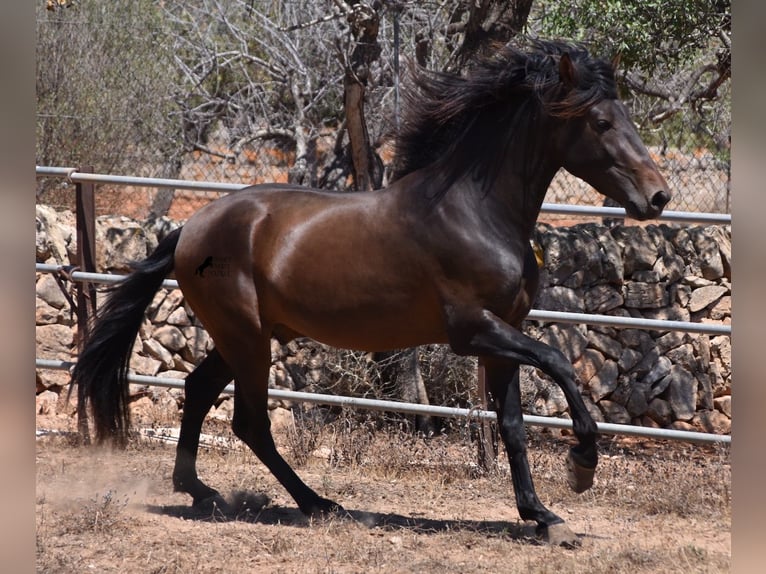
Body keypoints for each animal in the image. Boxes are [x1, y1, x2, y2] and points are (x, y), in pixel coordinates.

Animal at [72, 41, 672, 548]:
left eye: (627, 117)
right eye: (600, 121)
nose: (659, 197)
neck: (475, 211)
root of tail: (190, 227)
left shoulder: (506, 334)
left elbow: (514, 428)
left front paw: (542, 516)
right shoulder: (474, 330)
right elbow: (561, 365)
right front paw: (582, 466)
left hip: (245, 337)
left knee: (199, 392)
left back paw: (203, 492)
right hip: (246, 338)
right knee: (250, 421)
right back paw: (316, 503)